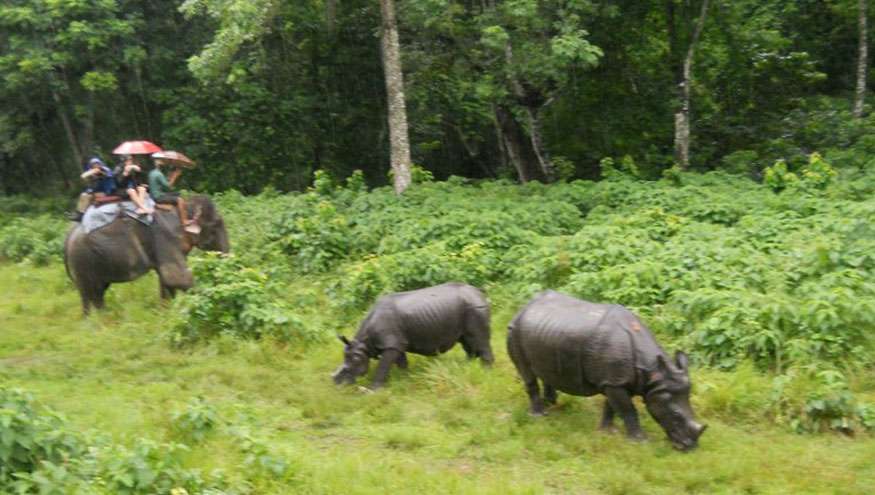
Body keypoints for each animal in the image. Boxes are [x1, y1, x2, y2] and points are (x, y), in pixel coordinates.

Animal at [64, 194, 229, 314]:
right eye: (215, 225)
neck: (182, 209)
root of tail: (68, 237)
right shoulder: (165, 237)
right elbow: (175, 276)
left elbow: (166, 280)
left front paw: (165, 312)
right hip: (82, 261)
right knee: (89, 293)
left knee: (98, 292)